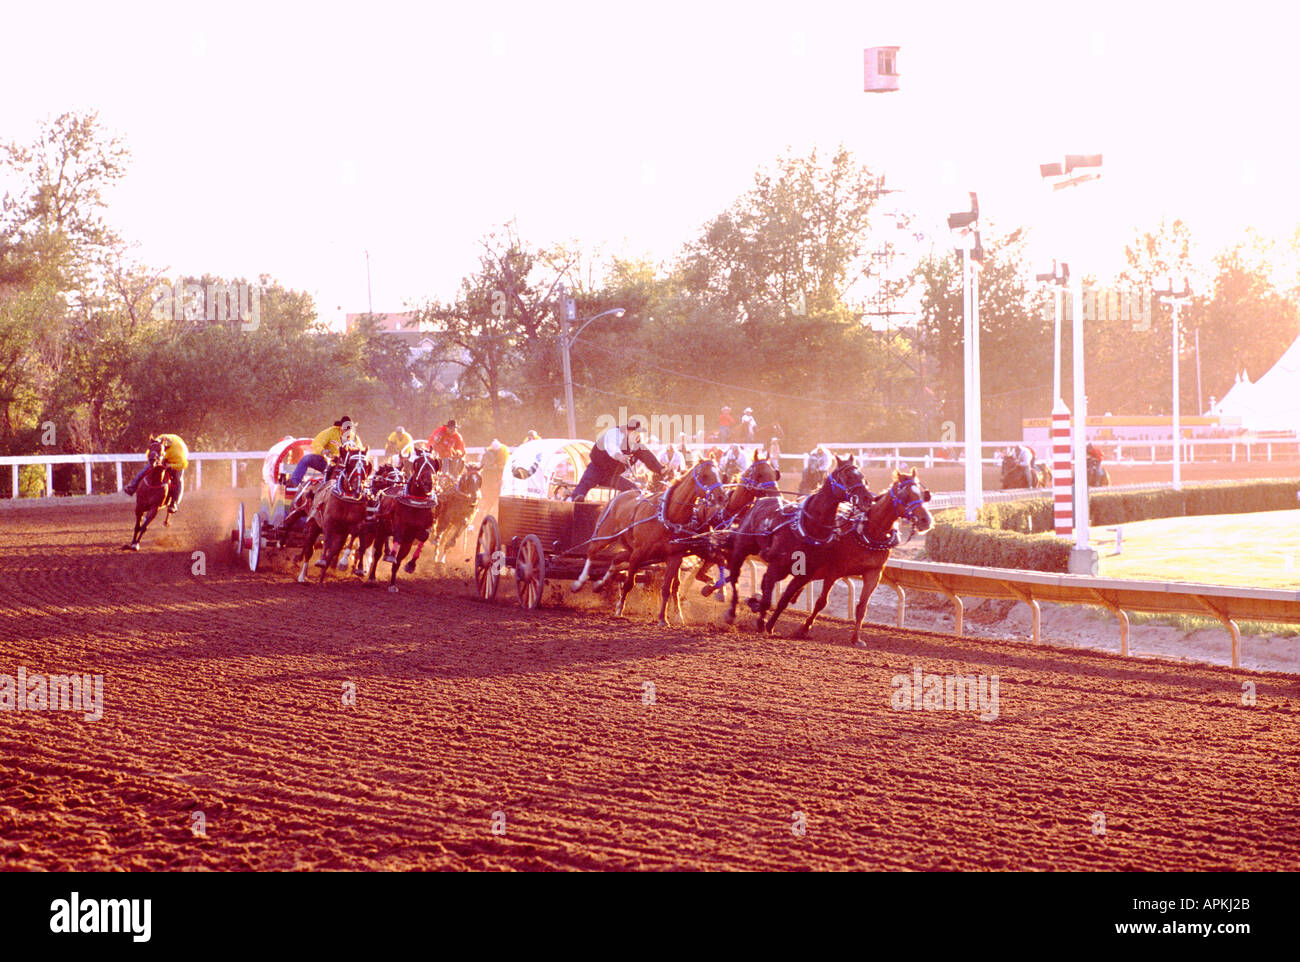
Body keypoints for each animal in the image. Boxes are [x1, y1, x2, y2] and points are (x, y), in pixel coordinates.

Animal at [296, 447, 371, 582]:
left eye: (366, 465)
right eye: (351, 464)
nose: (358, 487)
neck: (346, 498)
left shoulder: (355, 525)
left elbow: (353, 536)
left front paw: (343, 562)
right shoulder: (328, 521)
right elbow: (326, 540)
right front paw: (321, 560)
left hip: (339, 536)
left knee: (332, 553)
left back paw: (321, 578)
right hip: (313, 526)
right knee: (309, 550)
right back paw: (302, 576)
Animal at [364, 449, 444, 585]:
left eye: (435, 463)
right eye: (418, 463)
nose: (428, 483)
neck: (416, 502)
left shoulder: (417, 532)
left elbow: (423, 537)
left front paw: (411, 565)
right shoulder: (398, 523)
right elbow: (397, 535)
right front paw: (391, 555)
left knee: (397, 559)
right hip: (380, 530)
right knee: (377, 553)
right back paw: (372, 576)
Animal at [572, 460, 733, 626]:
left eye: (721, 475)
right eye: (704, 476)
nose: (722, 497)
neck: (667, 516)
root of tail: (617, 498)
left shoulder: (674, 557)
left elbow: (667, 588)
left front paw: (663, 618)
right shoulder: (638, 554)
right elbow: (629, 583)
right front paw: (619, 609)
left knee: (616, 559)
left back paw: (599, 584)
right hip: (604, 536)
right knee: (591, 553)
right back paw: (579, 583)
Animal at [759, 467, 935, 647]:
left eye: (923, 495)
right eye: (906, 495)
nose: (926, 520)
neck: (868, 532)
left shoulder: (874, 573)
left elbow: (862, 607)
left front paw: (856, 638)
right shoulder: (835, 571)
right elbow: (821, 602)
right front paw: (803, 629)